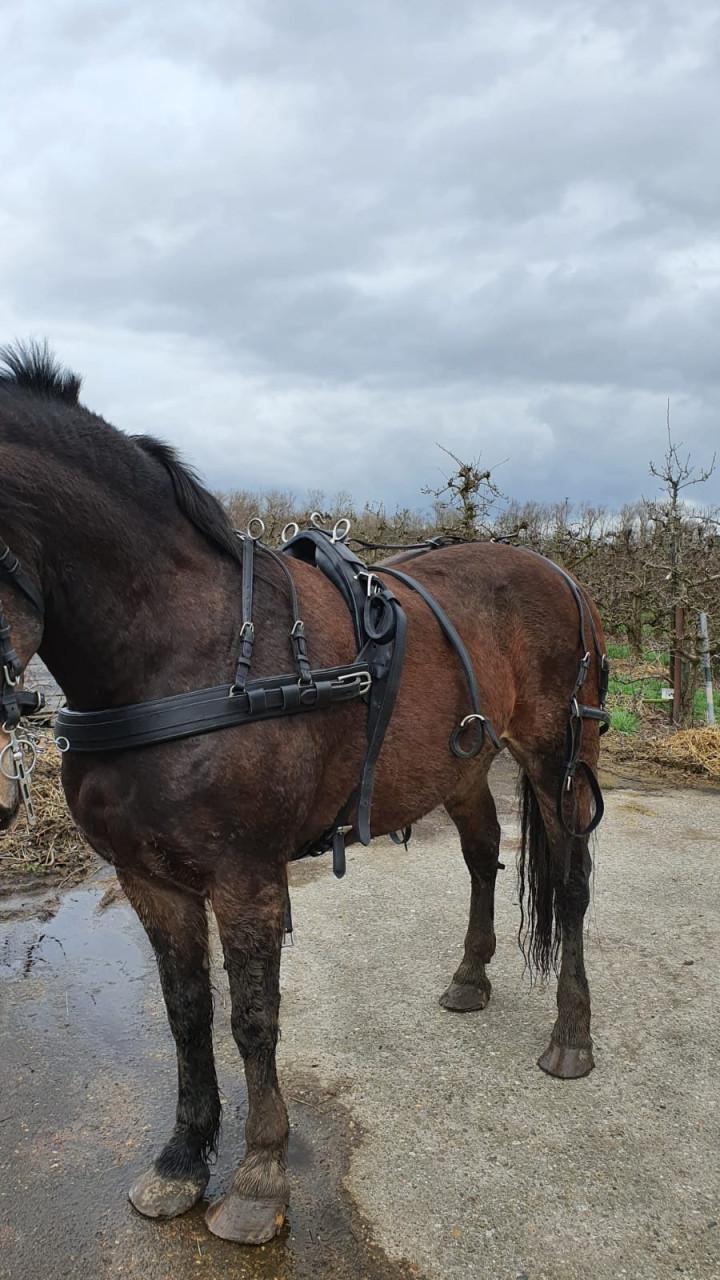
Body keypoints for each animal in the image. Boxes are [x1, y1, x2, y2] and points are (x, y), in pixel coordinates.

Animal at [0, 343, 608, 1246]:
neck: (181, 648)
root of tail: (558, 571)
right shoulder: (147, 879)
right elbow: (186, 1013)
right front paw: (181, 1160)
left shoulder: (245, 877)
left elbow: (253, 1018)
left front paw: (258, 1176)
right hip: (464, 765)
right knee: (482, 858)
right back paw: (470, 977)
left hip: (557, 760)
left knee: (569, 887)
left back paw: (571, 1035)